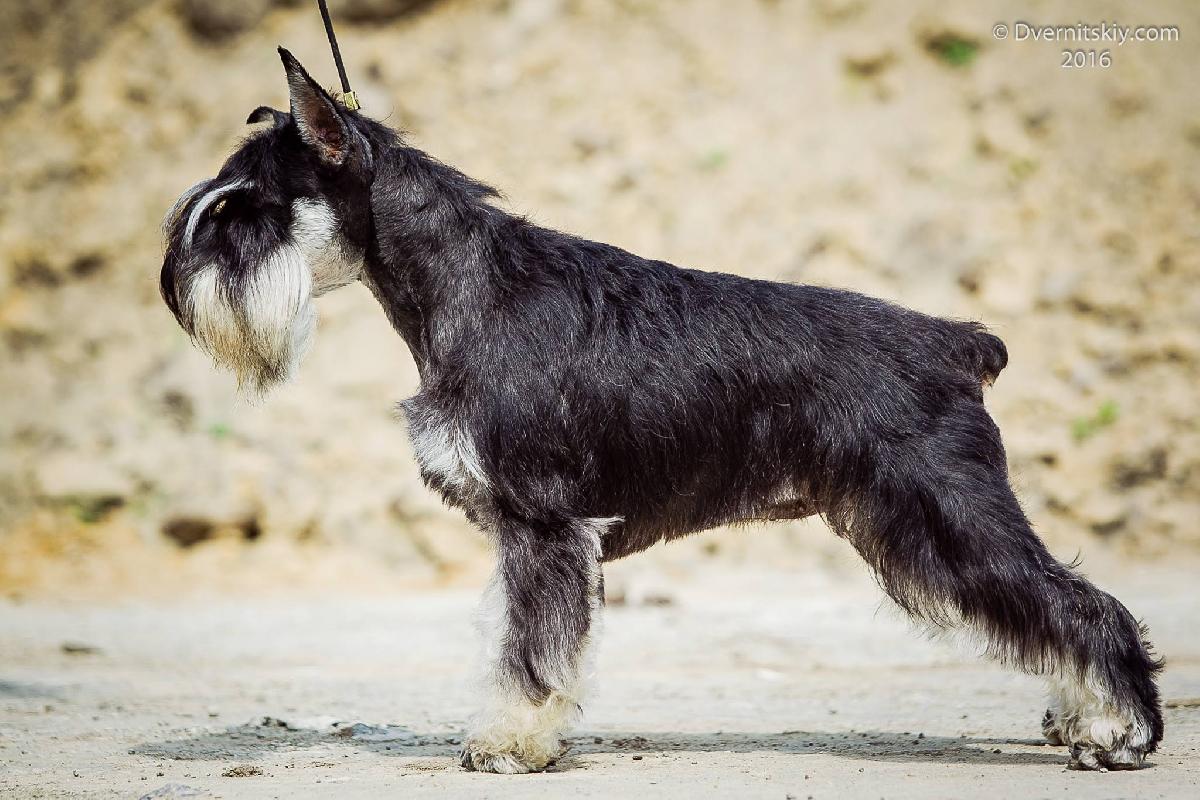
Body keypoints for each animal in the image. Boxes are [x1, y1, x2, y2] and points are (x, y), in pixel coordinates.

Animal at [159, 48, 1163, 774]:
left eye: (248, 208)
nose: (173, 281)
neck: (467, 289)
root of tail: (958, 343)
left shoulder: (543, 524)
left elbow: (531, 650)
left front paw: (510, 744)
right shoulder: (531, 534)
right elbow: (521, 639)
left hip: (946, 519)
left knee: (1082, 607)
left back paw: (1120, 733)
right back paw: (1082, 721)